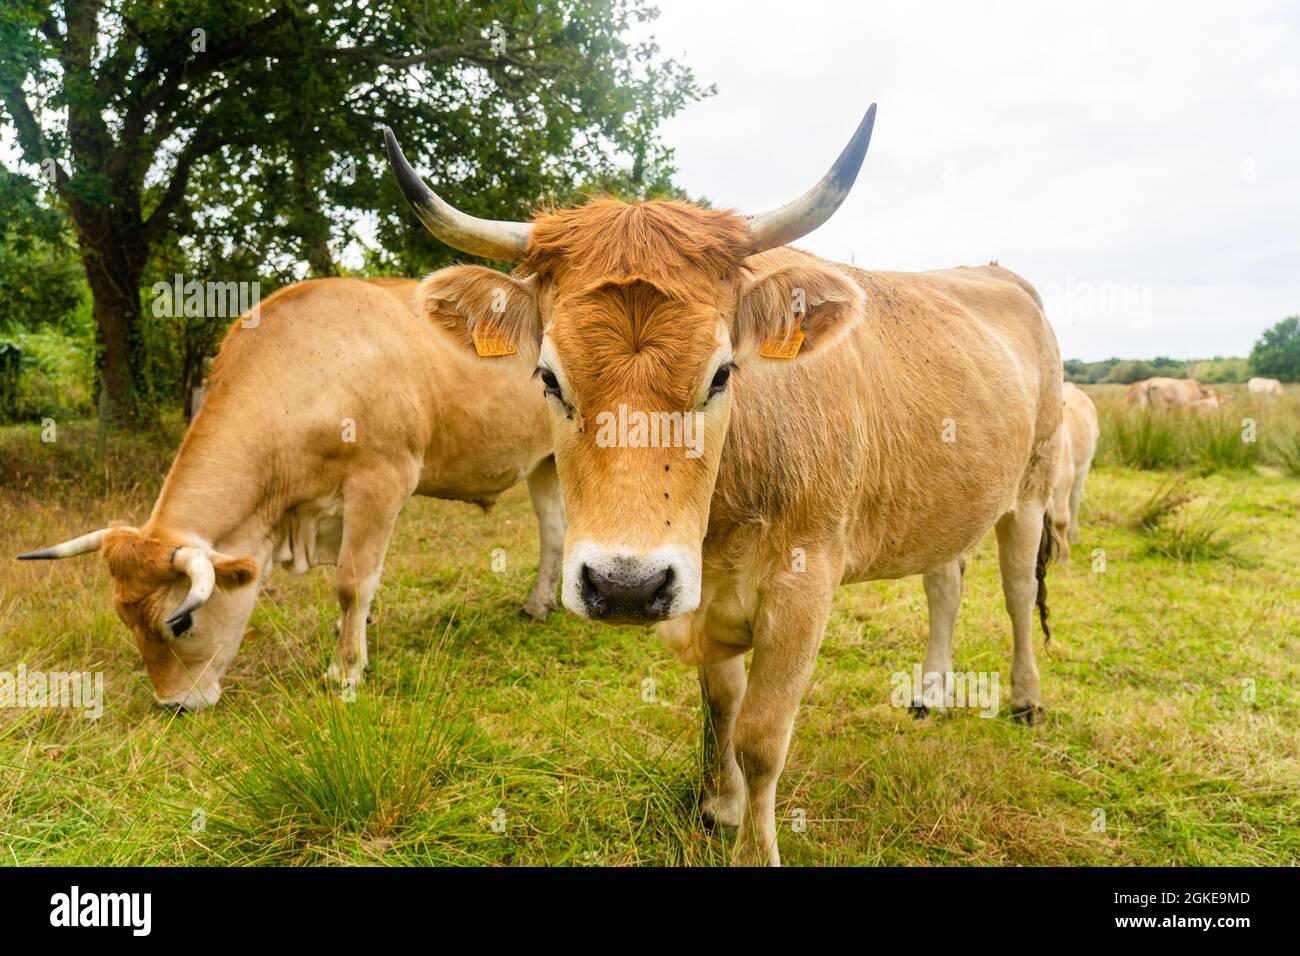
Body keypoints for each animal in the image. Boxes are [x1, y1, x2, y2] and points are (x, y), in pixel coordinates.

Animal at [17, 277, 561, 712]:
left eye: (180, 624)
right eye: (124, 619)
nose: (174, 704)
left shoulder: (381, 481)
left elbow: (352, 582)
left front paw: (346, 671)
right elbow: (364, 586)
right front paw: (357, 641)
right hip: (545, 463)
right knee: (553, 532)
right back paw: (538, 605)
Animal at [379, 104, 1060, 868]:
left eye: (723, 372)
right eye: (549, 377)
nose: (624, 587)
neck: (724, 518)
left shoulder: (803, 590)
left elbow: (761, 736)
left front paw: (754, 846)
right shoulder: (701, 597)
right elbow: (722, 704)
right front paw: (719, 806)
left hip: (1033, 488)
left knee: (1017, 590)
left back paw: (1026, 700)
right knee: (945, 581)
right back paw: (932, 691)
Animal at [1050, 382, 1102, 561]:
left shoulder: (1063, 477)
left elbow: (1060, 519)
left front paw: (1063, 556)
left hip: (1084, 466)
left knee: (1074, 501)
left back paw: (1072, 535)